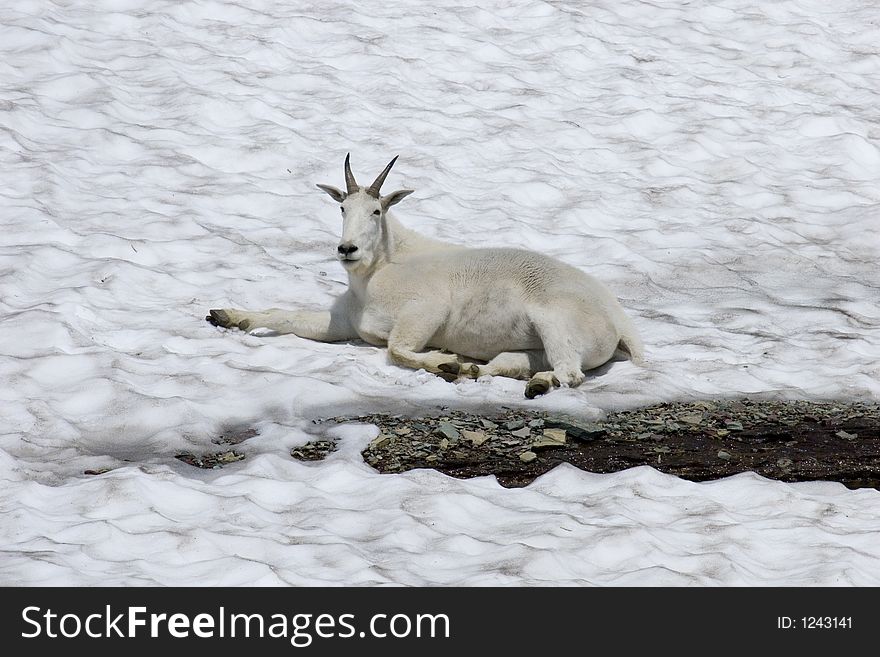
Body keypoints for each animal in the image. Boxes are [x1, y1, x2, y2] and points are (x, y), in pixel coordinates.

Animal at [210, 156, 644, 398]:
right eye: (342, 208)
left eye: (376, 211)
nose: (347, 249)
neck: (378, 271)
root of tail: (620, 321)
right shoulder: (345, 322)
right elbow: (287, 316)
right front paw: (226, 315)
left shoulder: (426, 310)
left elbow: (396, 349)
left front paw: (442, 360)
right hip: (533, 344)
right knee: (513, 362)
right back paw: (474, 370)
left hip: (555, 322)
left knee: (570, 372)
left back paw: (530, 383)